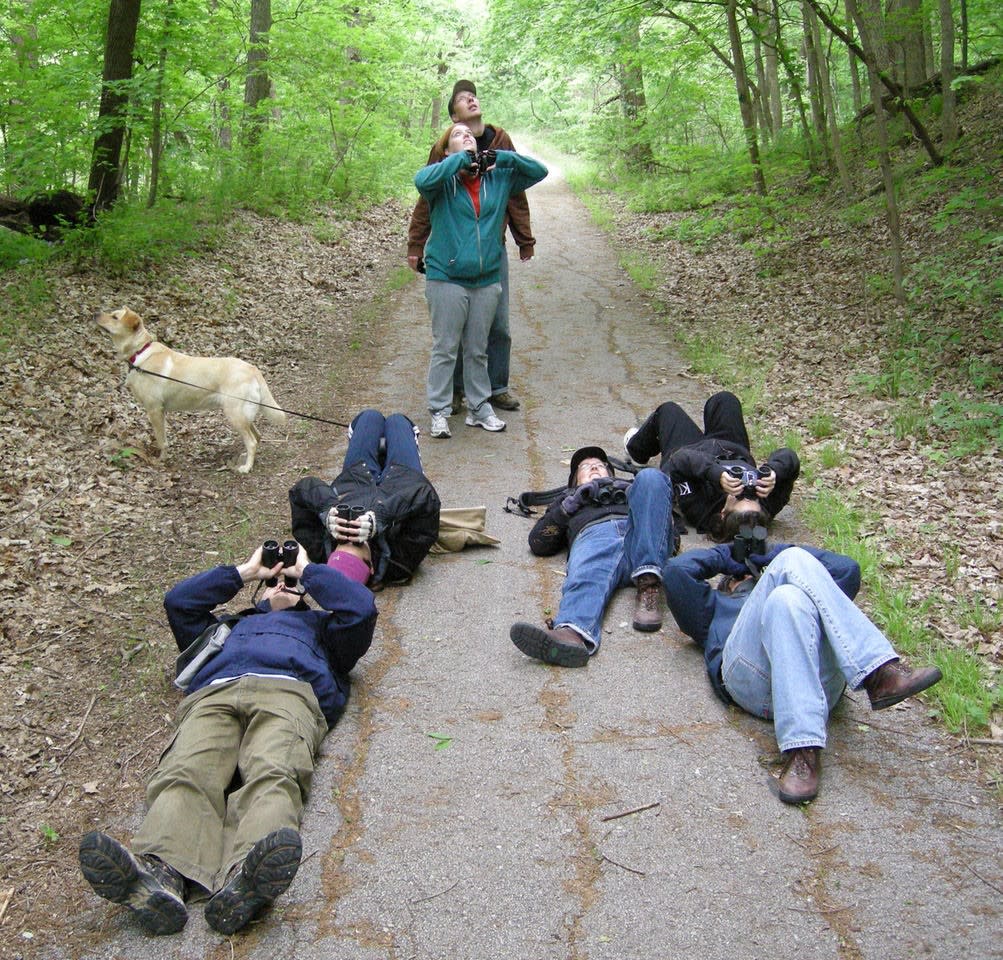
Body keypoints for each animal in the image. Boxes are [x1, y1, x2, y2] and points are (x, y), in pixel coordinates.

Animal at [96, 306, 286, 471]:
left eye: (115, 317)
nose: (94, 314)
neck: (140, 352)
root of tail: (252, 368)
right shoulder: (161, 411)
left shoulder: (154, 410)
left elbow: (161, 440)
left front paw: (161, 460)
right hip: (242, 414)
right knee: (257, 436)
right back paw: (245, 458)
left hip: (235, 414)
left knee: (252, 441)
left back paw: (246, 467)